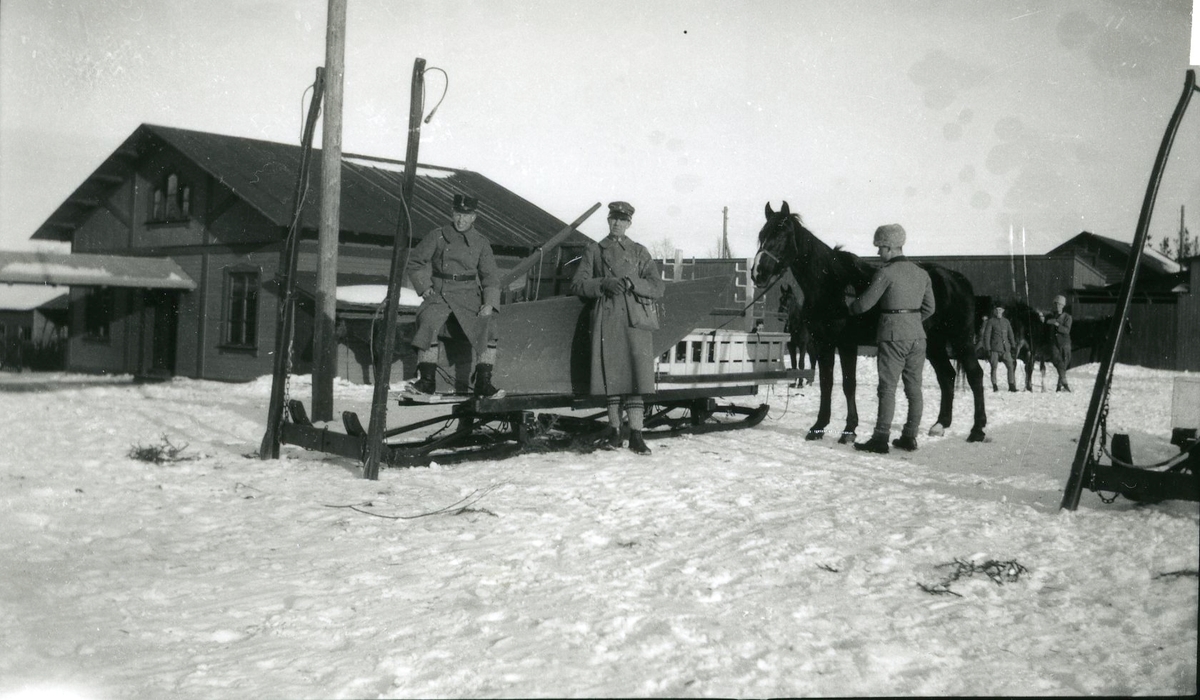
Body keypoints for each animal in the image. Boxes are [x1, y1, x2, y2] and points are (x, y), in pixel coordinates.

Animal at [753, 202, 988, 444]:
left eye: (782, 234)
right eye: (762, 235)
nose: (758, 273)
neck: (832, 285)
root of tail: (956, 279)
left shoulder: (846, 343)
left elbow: (849, 383)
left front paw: (849, 430)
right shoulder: (824, 343)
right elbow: (827, 383)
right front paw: (818, 427)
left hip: (961, 339)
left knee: (975, 375)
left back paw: (977, 430)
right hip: (934, 343)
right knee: (947, 376)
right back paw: (940, 425)